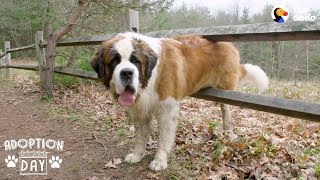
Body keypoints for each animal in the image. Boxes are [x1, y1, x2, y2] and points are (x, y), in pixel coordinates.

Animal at [91, 31, 268, 171]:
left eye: (135, 61)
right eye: (115, 61)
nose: (127, 73)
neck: (150, 78)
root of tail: (229, 44)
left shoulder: (167, 109)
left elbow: (163, 138)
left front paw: (159, 161)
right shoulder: (141, 111)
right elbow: (140, 136)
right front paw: (137, 155)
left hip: (224, 91)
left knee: (226, 110)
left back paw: (228, 131)